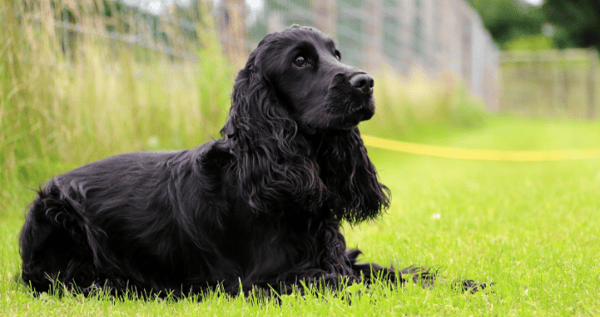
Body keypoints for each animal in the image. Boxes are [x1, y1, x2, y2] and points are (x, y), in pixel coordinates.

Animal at [22, 24, 464, 296]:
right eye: (300, 61)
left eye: (336, 53)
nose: (366, 82)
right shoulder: (267, 280)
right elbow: (353, 282)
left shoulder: (333, 258)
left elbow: (388, 273)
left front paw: (463, 284)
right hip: (59, 219)